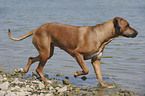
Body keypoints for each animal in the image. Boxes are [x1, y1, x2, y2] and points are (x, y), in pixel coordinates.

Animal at [8, 16, 138, 87]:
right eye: (127, 25)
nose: (137, 32)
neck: (101, 35)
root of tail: (36, 29)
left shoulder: (96, 60)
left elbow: (100, 76)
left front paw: (103, 86)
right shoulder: (77, 54)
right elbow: (85, 70)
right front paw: (76, 74)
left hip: (48, 52)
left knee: (31, 58)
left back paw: (24, 71)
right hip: (45, 53)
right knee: (38, 69)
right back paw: (46, 80)